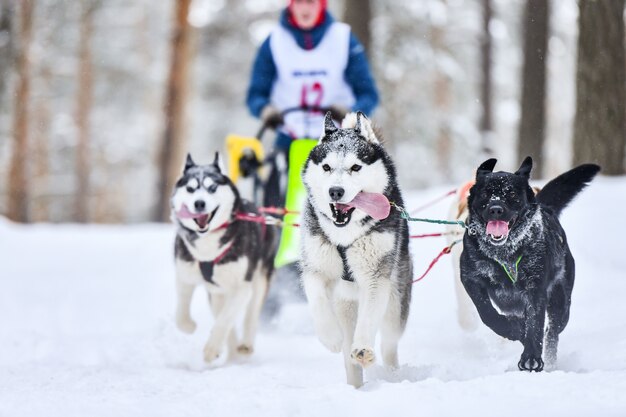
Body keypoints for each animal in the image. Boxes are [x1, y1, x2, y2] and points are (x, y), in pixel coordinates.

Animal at [460, 157, 596, 370]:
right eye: (485, 194)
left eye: (512, 194)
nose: (496, 209)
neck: (504, 254)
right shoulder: (470, 279)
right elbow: (487, 313)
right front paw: (511, 330)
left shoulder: (535, 287)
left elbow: (535, 324)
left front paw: (531, 357)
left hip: (561, 304)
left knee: (552, 332)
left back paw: (549, 361)